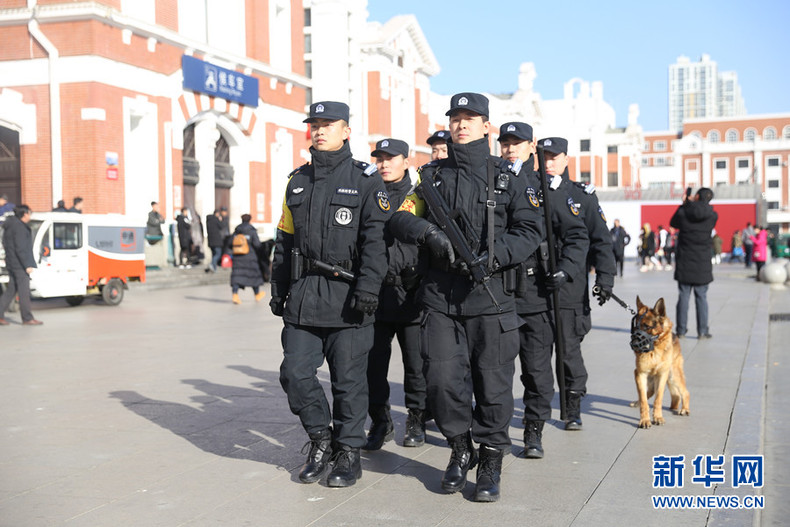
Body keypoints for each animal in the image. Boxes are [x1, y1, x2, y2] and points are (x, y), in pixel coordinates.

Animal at [632, 296, 692, 428]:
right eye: (635, 327)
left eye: (647, 326)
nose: (633, 345)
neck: (653, 349)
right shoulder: (640, 374)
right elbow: (644, 399)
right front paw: (645, 419)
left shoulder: (662, 375)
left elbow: (658, 398)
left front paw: (658, 417)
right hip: (651, 378)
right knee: (648, 392)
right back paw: (637, 402)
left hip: (673, 375)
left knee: (684, 392)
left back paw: (685, 409)